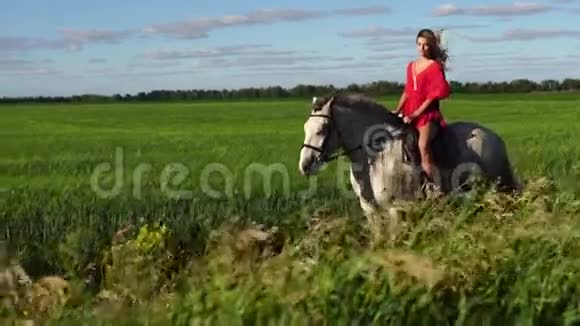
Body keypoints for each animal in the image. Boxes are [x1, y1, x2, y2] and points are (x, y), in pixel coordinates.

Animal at [300, 93, 520, 215]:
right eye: (305, 127)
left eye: (322, 129)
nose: (305, 165)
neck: (378, 155)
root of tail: (493, 136)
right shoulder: (371, 211)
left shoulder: (395, 209)